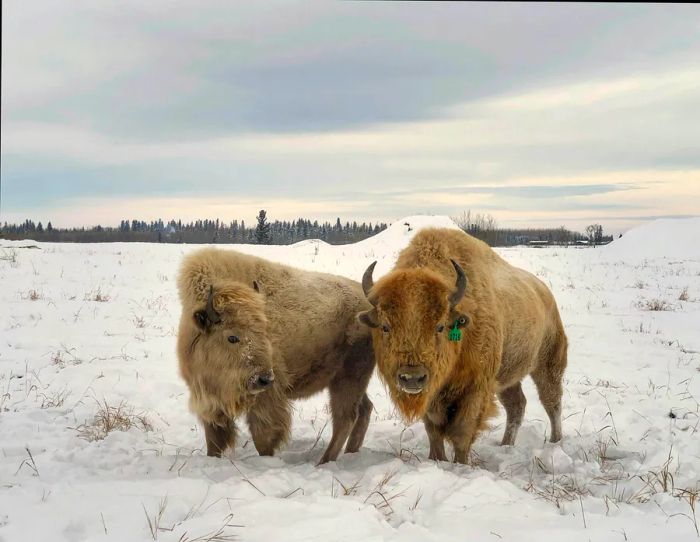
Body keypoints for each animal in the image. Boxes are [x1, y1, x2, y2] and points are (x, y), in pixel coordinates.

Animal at [178, 249, 374, 466]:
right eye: (232, 337)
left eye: (265, 330)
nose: (264, 379)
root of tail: (367, 300)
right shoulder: (211, 402)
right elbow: (213, 440)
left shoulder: (266, 401)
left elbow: (263, 438)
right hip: (347, 380)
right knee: (364, 410)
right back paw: (350, 453)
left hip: (349, 378)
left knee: (345, 418)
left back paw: (323, 462)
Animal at [358, 228, 568, 464]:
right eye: (385, 326)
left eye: (440, 326)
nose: (411, 378)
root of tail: (545, 293)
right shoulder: (434, 393)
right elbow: (434, 431)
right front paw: (437, 459)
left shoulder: (476, 388)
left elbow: (462, 431)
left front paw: (460, 464)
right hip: (507, 378)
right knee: (517, 405)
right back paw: (506, 445)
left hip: (548, 364)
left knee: (552, 402)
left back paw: (555, 442)